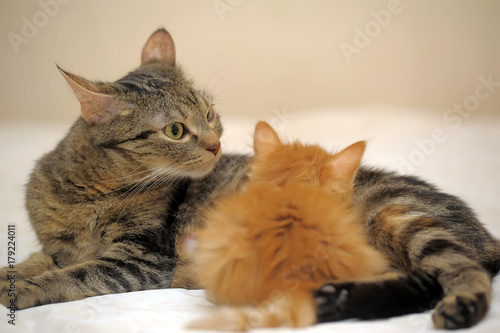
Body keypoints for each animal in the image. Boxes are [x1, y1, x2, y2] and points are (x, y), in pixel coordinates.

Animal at [0, 28, 250, 308]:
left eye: (209, 115)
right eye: (175, 131)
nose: (216, 145)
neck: (89, 194)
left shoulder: (145, 257)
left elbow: (78, 274)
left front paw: (24, 288)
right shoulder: (58, 251)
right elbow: (37, 259)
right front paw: (10, 275)